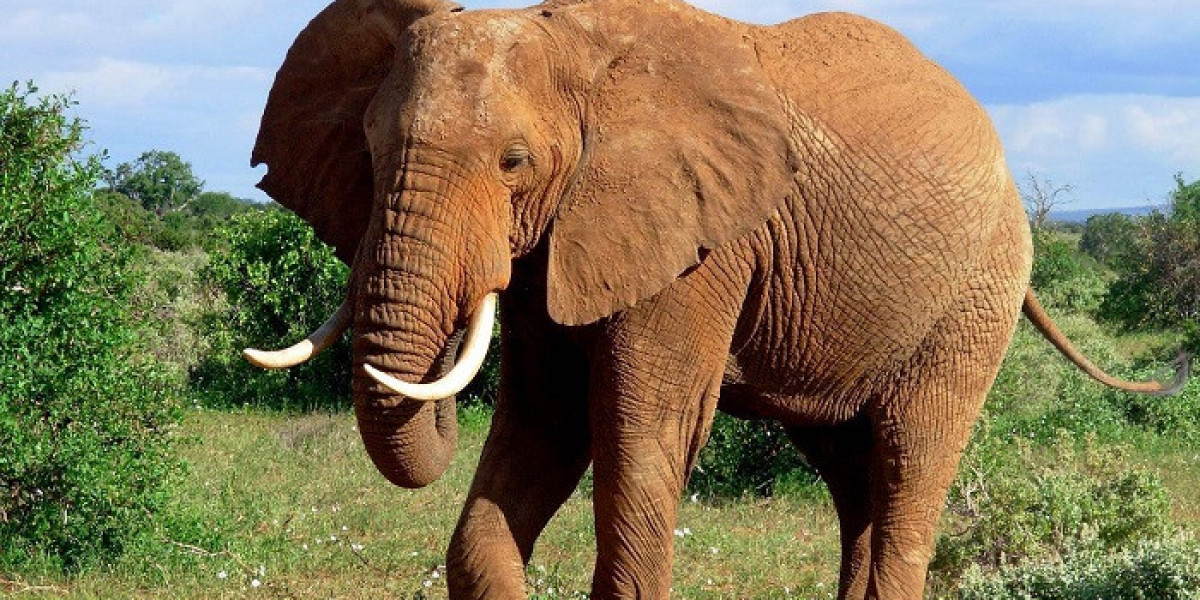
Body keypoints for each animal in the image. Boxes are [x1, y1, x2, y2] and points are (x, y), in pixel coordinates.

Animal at [242, 0, 1190, 597]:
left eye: (514, 163)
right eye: (368, 151)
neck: (576, 45)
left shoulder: (700, 247)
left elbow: (641, 429)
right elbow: (544, 422)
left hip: (976, 292)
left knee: (910, 457)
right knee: (854, 476)